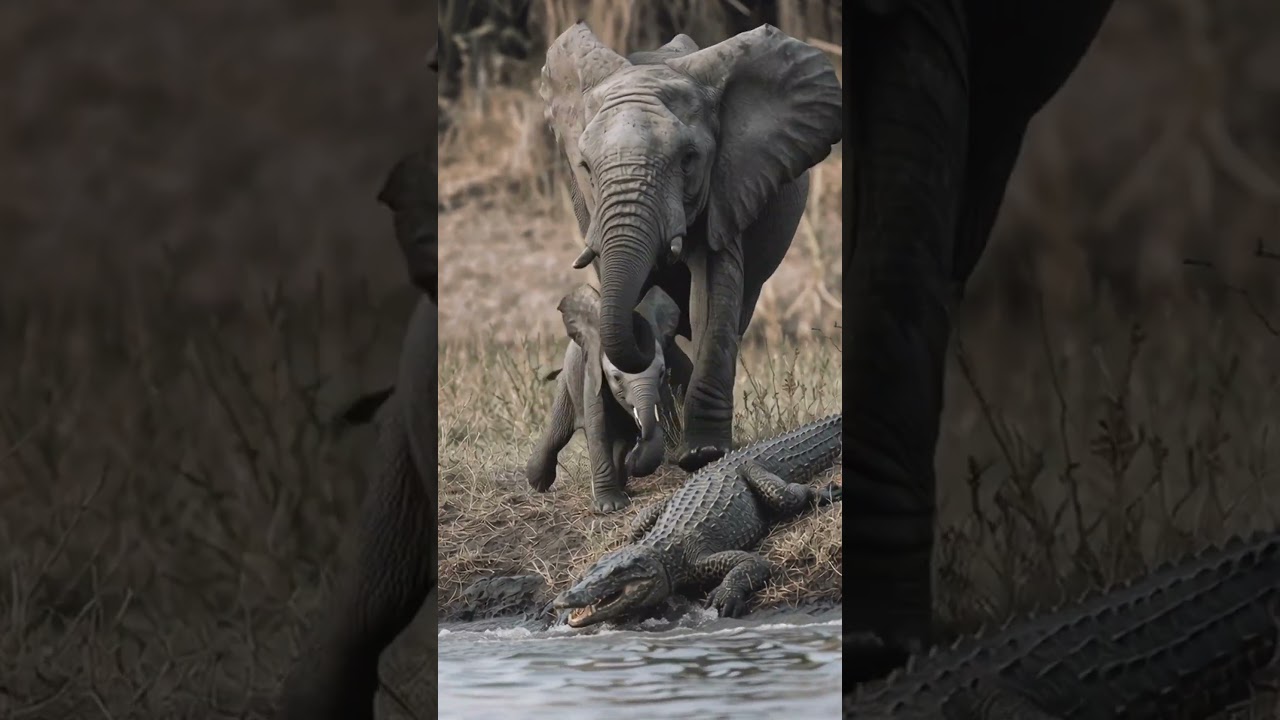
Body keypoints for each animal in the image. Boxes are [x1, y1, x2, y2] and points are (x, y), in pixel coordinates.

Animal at [525, 284, 681, 513]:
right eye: (616, 378)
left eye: (661, 373)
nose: (637, 448)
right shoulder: (593, 376)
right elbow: (597, 429)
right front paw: (610, 506)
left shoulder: (660, 390)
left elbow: (643, 429)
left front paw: (630, 469)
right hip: (567, 385)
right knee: (558, 433)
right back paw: (537, 482)